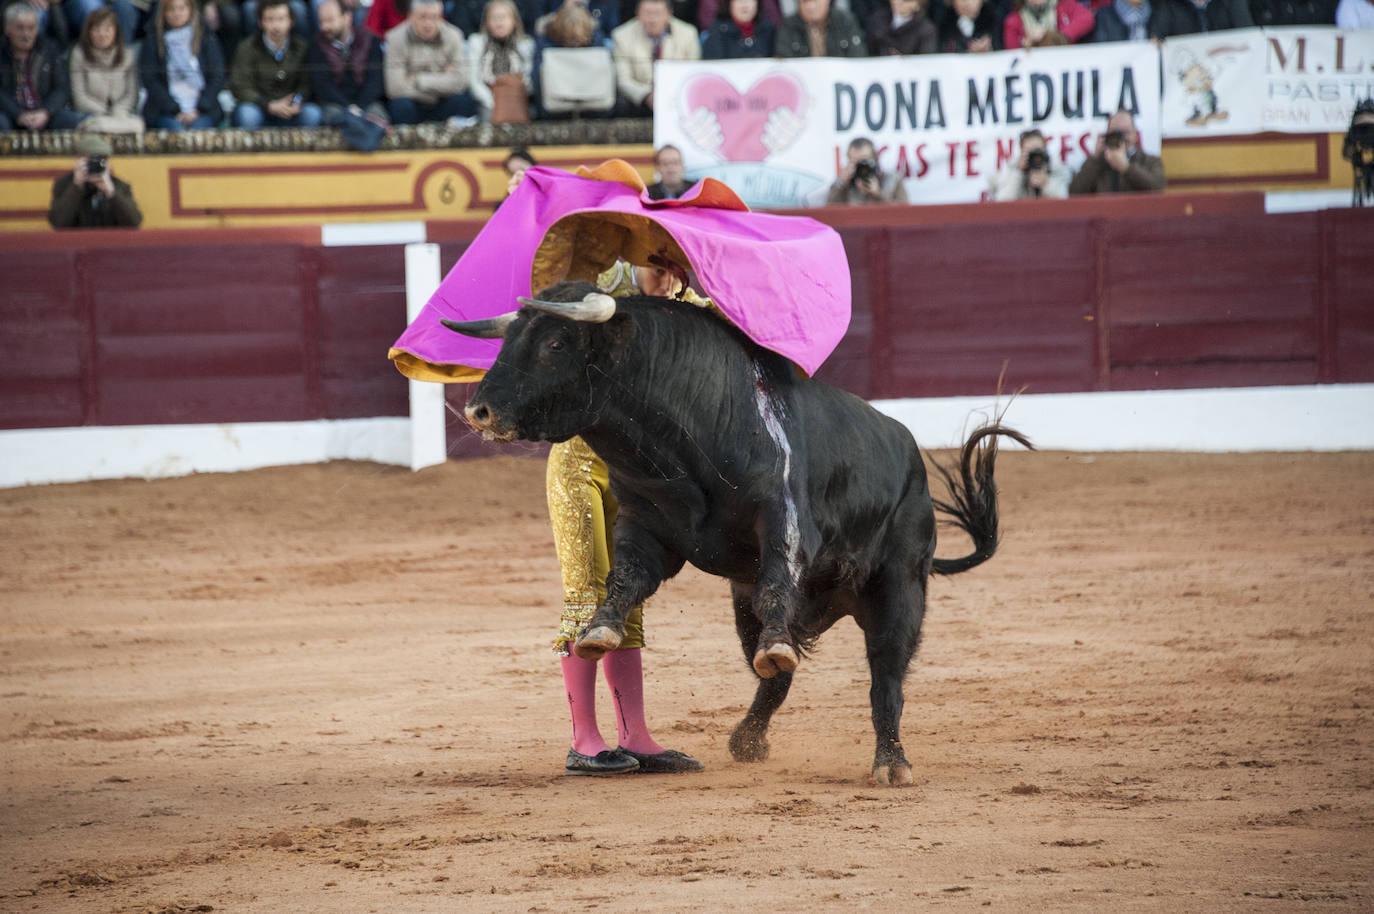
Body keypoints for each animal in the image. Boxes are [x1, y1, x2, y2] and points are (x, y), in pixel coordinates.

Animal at [450, 280, 1033, 786]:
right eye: (507, 339)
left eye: (554, 342)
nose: (478, 410)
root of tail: (910, 452)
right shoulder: (646, 526)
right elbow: (624, 581)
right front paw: (600, 628)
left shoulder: (783, 518)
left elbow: (779, 580)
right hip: (745, 602)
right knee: (777, 681)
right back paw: (747, 740)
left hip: (900, 585)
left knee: (885, 676)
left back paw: (891, 763)